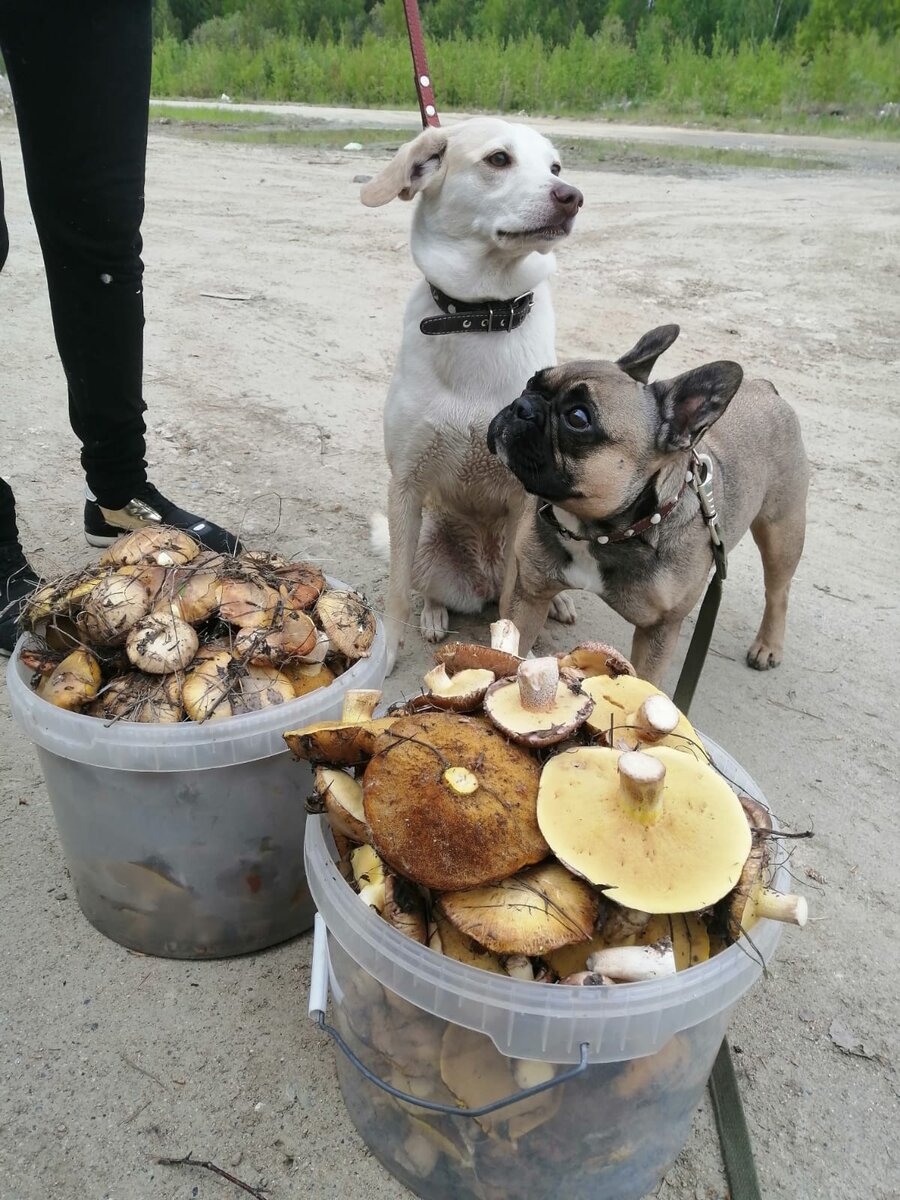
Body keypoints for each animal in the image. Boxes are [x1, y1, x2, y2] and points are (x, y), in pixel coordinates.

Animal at [362, 119, 580, 676]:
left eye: (555, 166)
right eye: (499, 159)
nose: (572, 196)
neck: (483, 314)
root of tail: (478, 573)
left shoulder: (526, 498)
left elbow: (513, 607)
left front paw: (513, 660)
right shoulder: (406, 485)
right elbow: (396, 592)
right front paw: (386, 653)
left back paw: (560, 602)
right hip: (427, 541)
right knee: (428, 587)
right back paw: (436, 614)